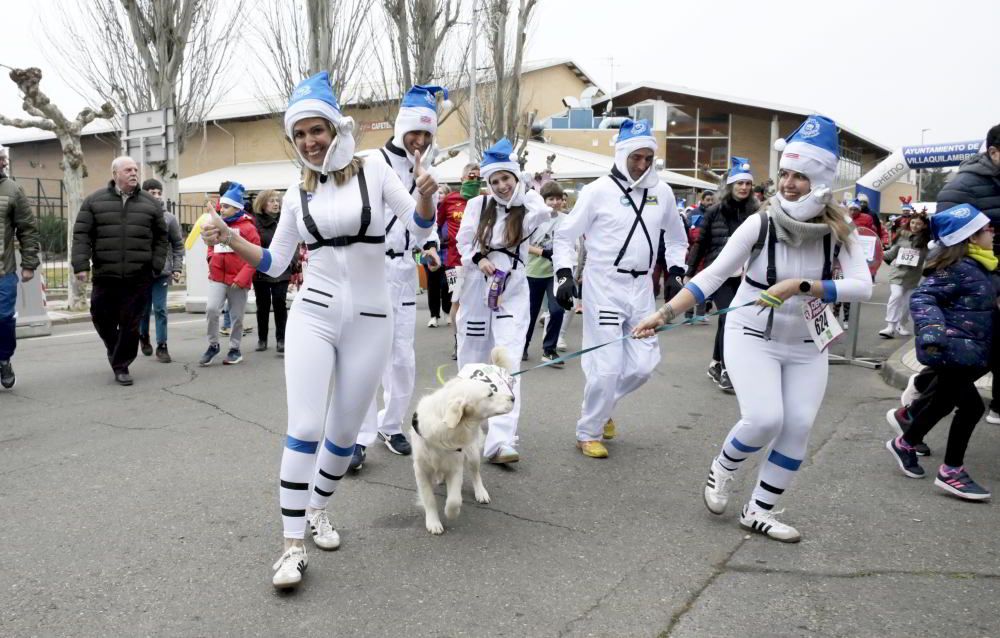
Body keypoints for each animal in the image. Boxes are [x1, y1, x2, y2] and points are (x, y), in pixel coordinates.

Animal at [408, 348, 516, 536]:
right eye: (490, 394)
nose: (513, 398)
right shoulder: (420, 470)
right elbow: (429, 498)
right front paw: (433, 522)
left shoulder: (456, 465)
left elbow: (454, 499)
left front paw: (451, 513)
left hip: (472, 454)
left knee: (475, 473)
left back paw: (481, 492)